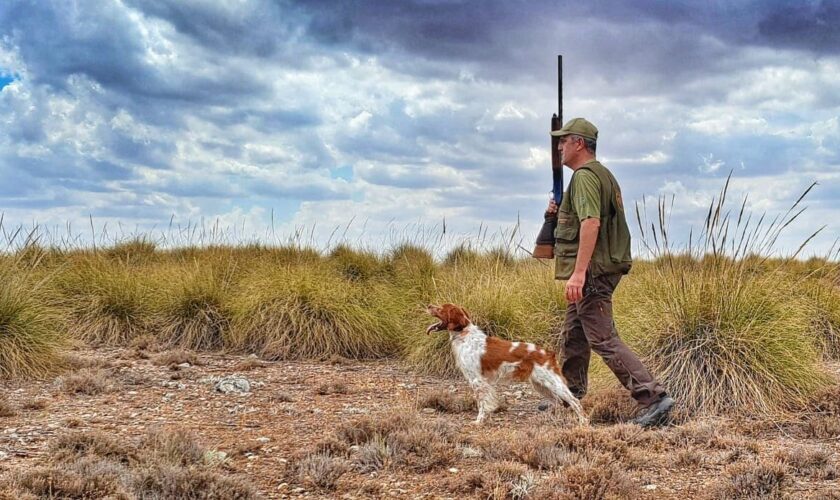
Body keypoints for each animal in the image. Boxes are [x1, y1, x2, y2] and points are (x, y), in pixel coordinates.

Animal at [426, 302, 584, 424]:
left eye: (440, 308)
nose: (429, 306)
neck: (464, 335)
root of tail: (548, 353)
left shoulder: (477, 380)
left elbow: (482, 403)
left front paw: (479, 421)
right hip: (541, 385)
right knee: (558, 402)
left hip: (553, 383)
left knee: (574, 401)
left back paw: (583, 422)